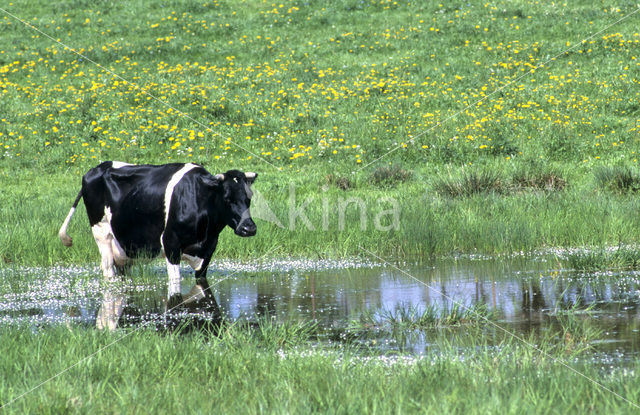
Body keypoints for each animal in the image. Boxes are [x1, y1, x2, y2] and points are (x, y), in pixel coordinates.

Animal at [58, 161, 258, 314]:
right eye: (227, 197)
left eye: (249, 198)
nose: (249, 228)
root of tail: (98, 168)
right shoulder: (171, 245)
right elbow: (175, 284)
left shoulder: (208, 249)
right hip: (101, 233)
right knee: (107, 271)